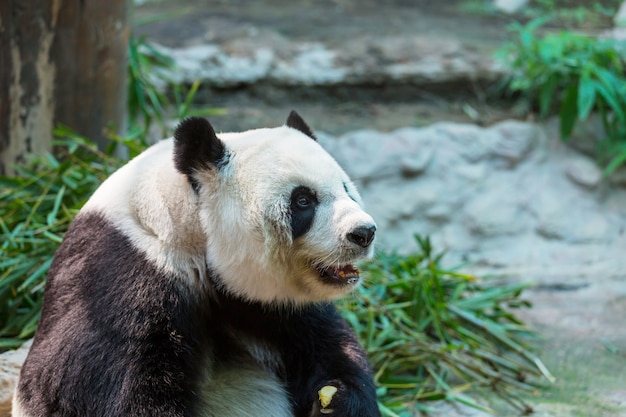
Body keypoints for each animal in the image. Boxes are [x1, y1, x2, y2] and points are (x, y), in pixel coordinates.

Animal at [12, 111, 378, 416]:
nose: (364, 232)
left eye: (347, 189)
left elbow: (331, 346)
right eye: (303, 200)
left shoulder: (268, 304)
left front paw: (335, 399)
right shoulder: (122, 286)